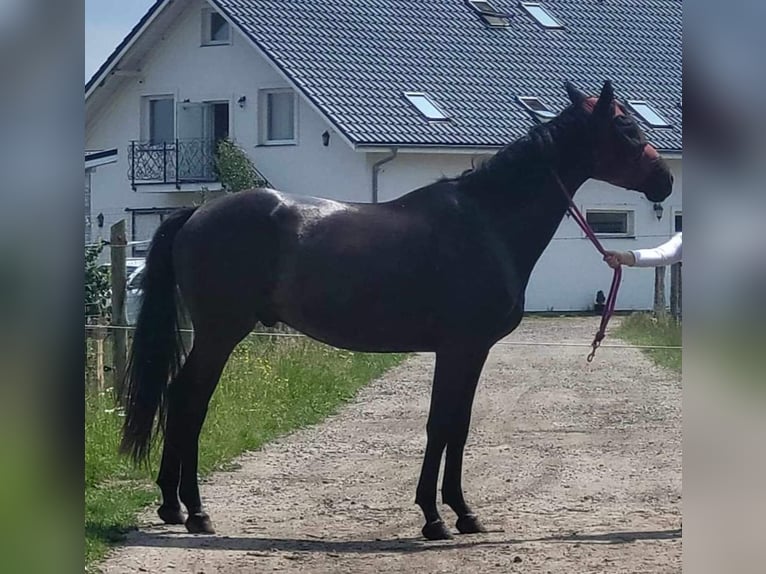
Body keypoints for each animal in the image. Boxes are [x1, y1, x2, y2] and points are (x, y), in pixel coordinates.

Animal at [118, 81, 672, 540]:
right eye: (626, 128)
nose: (665, 180)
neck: (487, 221)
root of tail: (197, 212)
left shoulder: (469, 353)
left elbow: (457, 424)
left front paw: (460, 513)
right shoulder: (460, 348)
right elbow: (442, 425)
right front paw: (437, 517)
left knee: (182, 399)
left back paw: (174, 507)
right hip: (220, 333)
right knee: (189, 401)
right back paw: (195, 511)